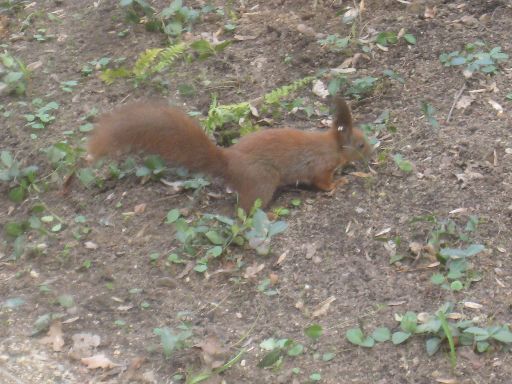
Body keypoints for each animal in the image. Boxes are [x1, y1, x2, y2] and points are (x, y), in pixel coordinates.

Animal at [86, 96, 370, 210]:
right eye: (360, 145)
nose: (373, 152)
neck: (332, 145)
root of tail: (228, 163)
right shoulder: (320, 166)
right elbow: (322, 182)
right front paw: (339, 183)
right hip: (263, 181)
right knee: (245, 209)